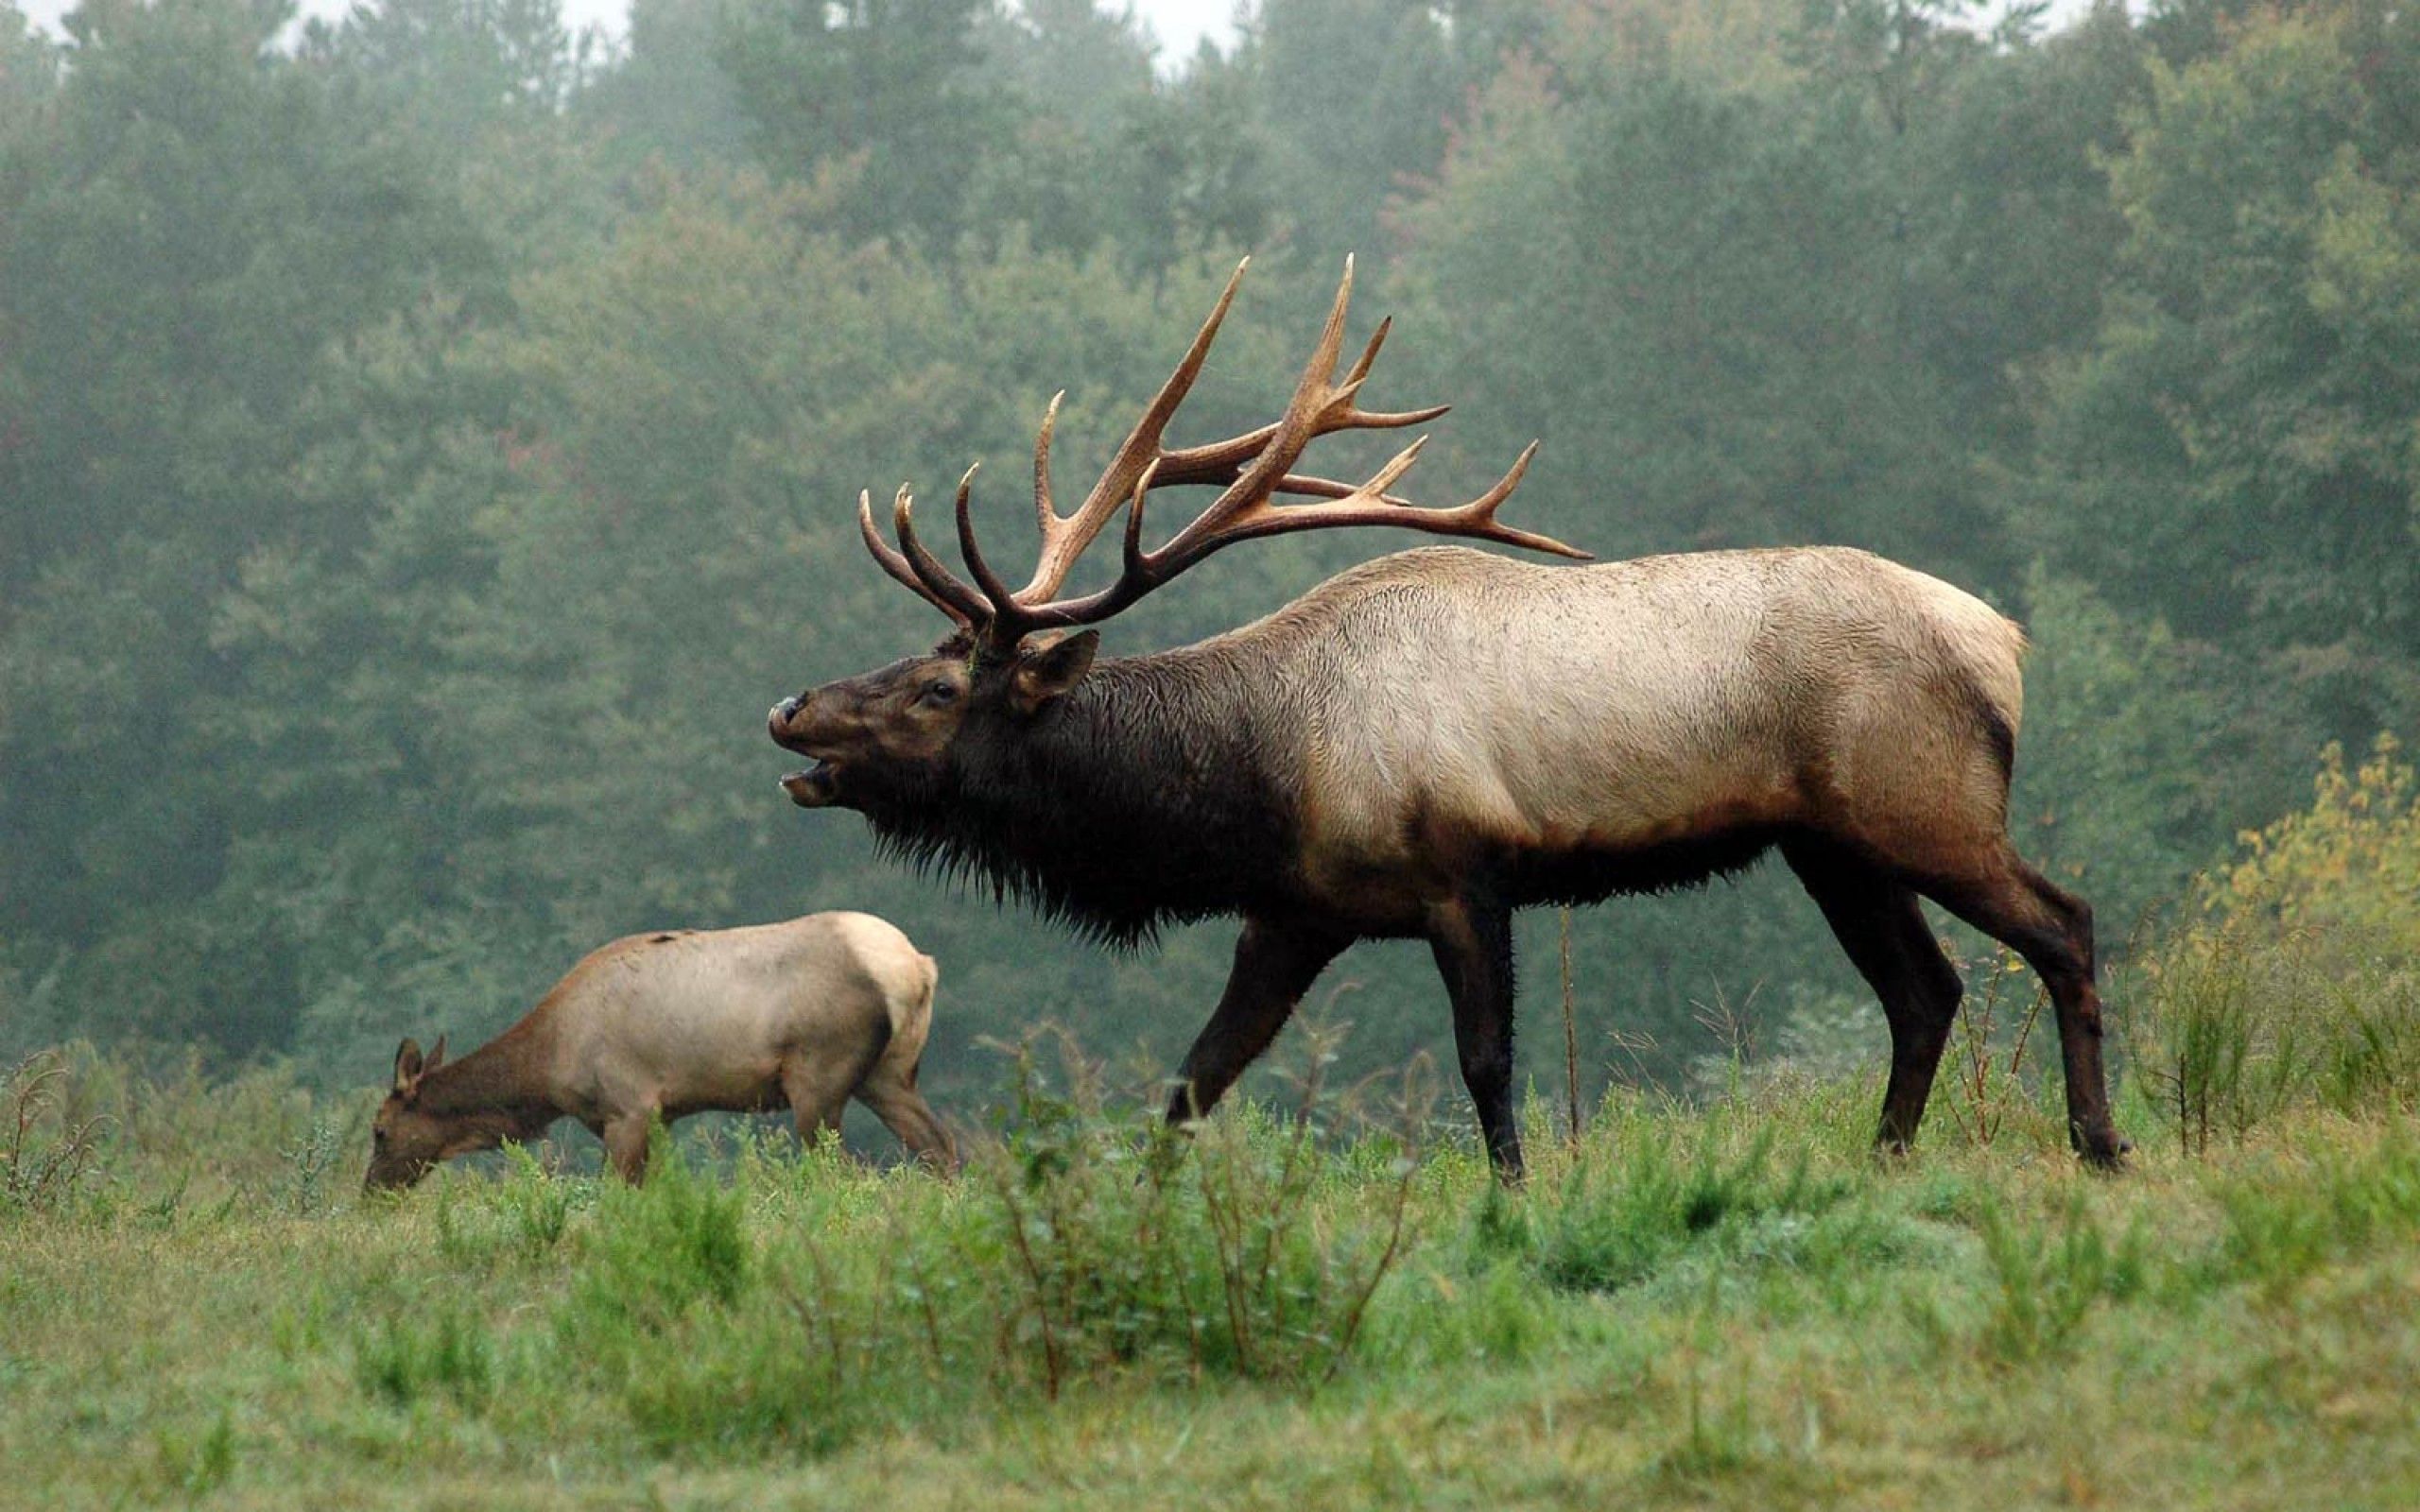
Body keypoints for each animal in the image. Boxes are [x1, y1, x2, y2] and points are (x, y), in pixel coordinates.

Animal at [365, 913, 957, 1189]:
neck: (550, 1065)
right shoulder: (661, 1116)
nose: (372, 1192)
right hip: (889, 1074)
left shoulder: (627, 1107)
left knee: (840, 1169)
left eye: (379, 1130)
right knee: (941, 1147)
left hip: (819, 1075)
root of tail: (917, 967)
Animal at [765, 258, 2128, 1182]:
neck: (1254, 777)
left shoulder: (1465, 875)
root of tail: (2003, 642)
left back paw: (2098, 1141)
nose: (791, 710)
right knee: (1926, 991)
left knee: (2062, 924)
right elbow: (1194, 1081)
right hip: (1831, 844)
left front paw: (1514, 1201)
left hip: (1922, 806)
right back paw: (1885, 1157)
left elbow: (1486, 1064)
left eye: (940, 690)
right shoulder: (1294, 911)